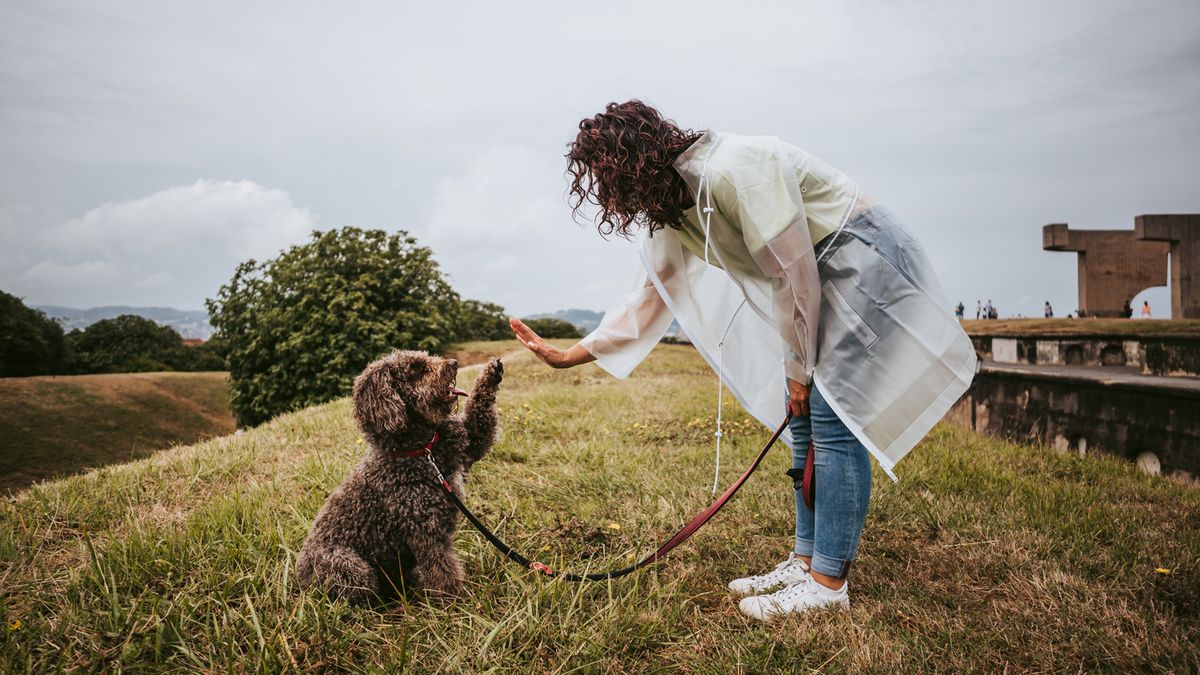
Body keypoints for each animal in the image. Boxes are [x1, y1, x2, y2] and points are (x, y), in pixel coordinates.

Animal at [295, 348, 501, 600]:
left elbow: (479, 416)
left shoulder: (466, 446)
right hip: (348, 566)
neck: (422, 450)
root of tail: (300, 581)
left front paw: (491, 373)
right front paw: (454, 603)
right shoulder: (427, 533)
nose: (453, 363)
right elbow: (442, 571)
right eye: (415, 370)